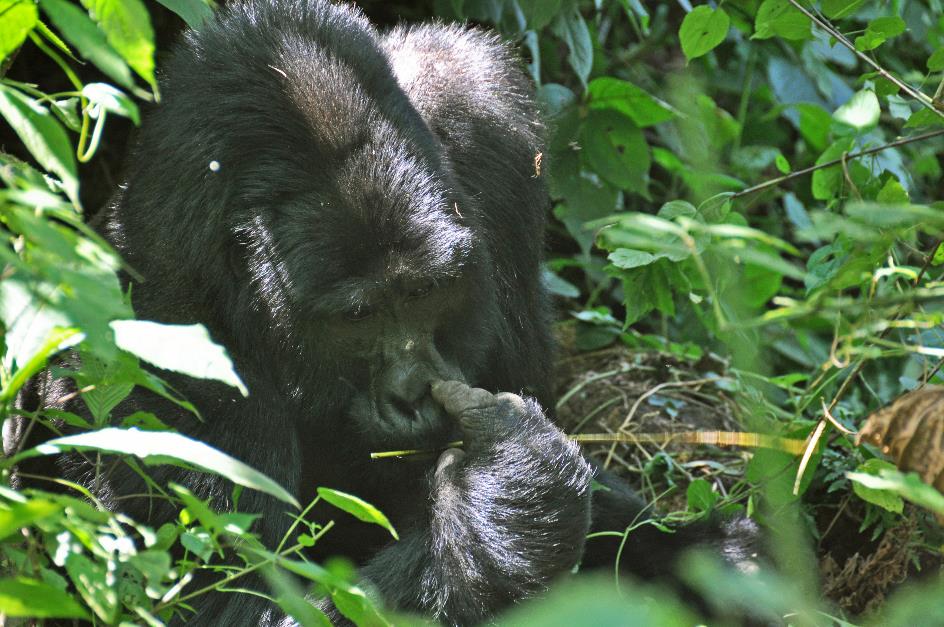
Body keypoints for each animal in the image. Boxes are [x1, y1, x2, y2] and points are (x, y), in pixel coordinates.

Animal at [12, 0, 760, 624]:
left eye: (425, 293)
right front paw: (514, 505)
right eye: (356, 318)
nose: (411, 393)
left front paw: (714, 555)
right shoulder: (151, 334)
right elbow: (222, 601)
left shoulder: (488, 116)